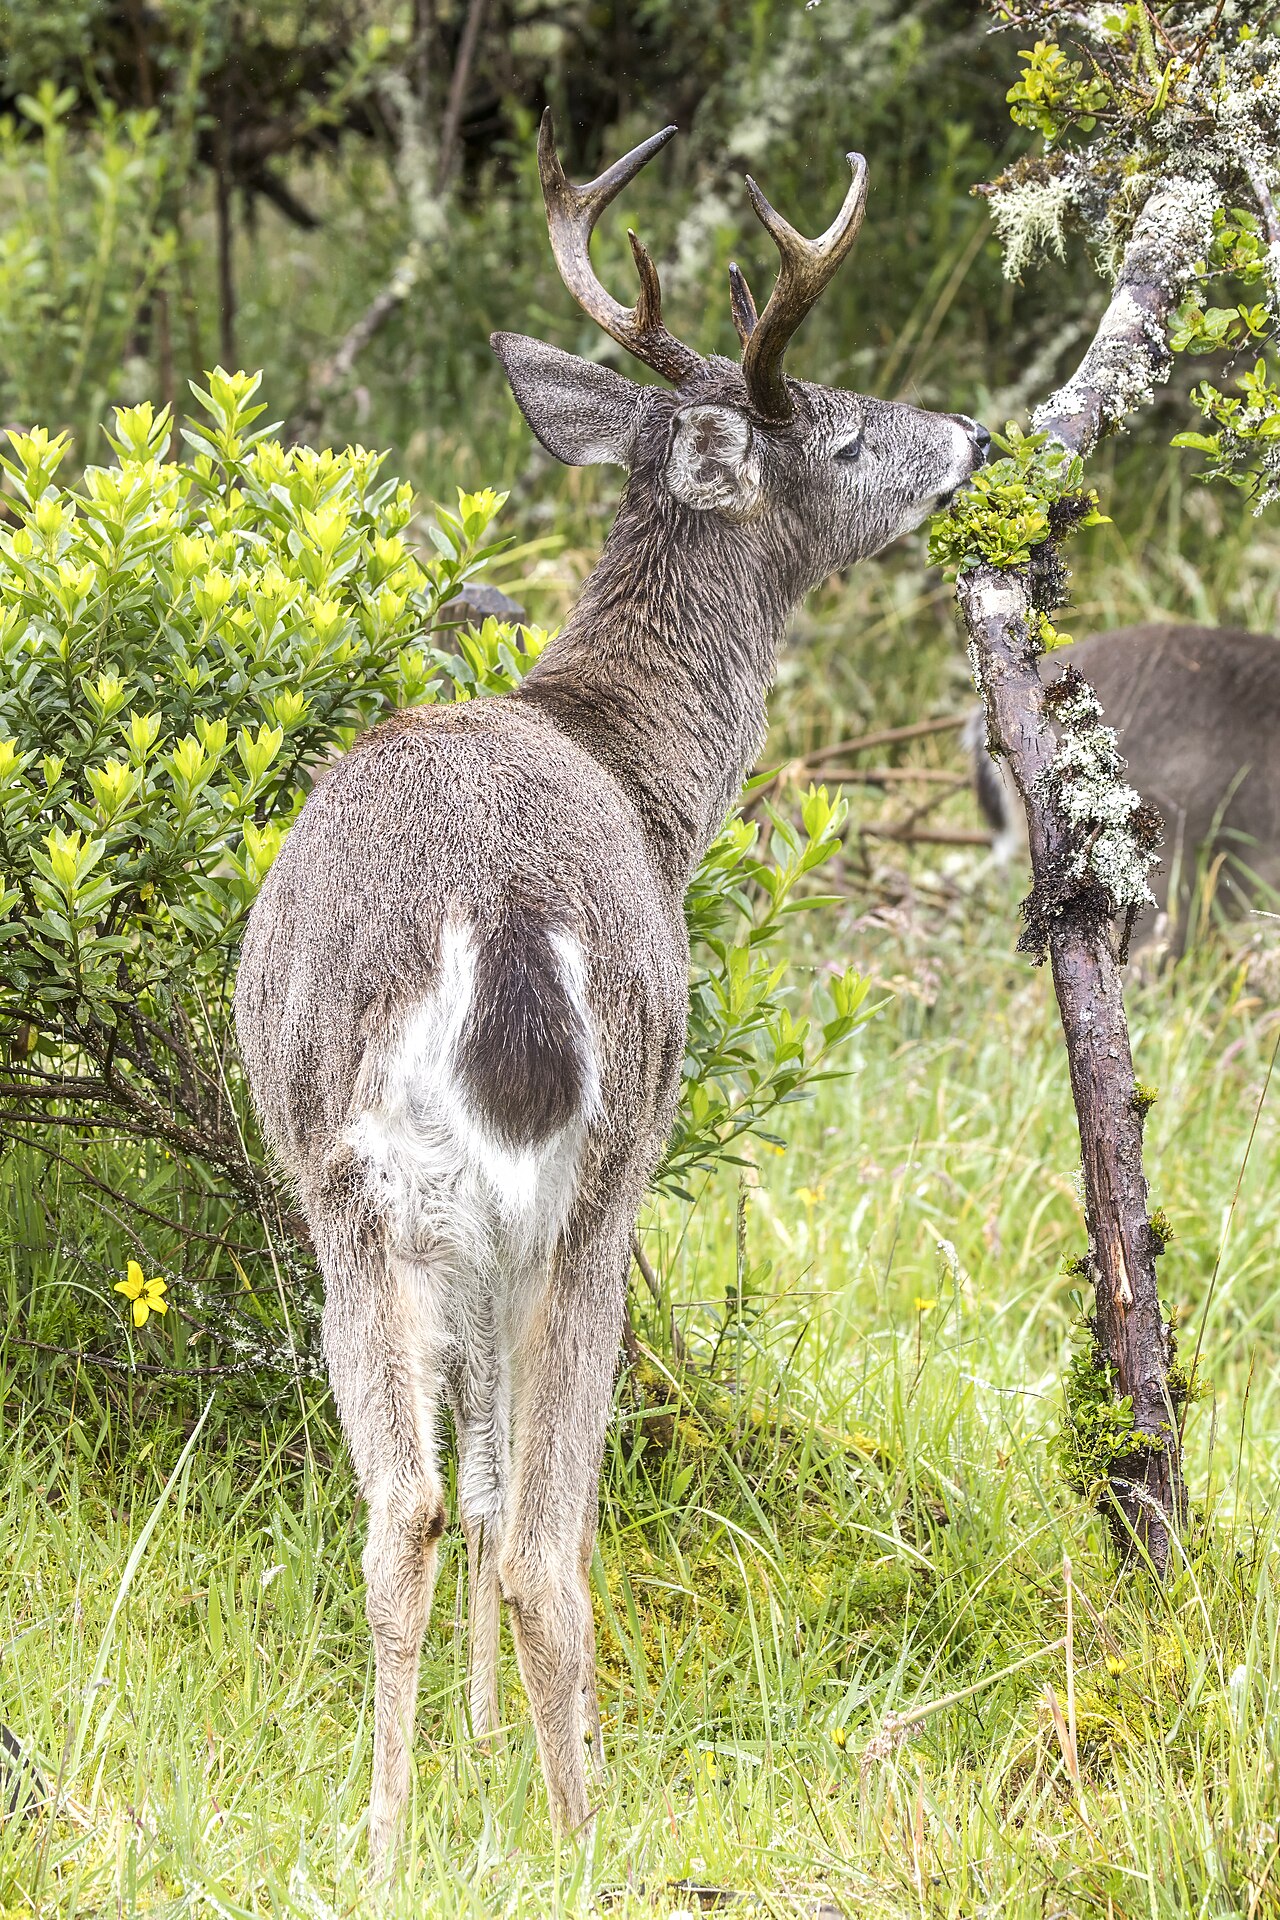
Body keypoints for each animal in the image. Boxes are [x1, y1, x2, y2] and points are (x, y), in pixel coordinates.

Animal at [234, 111, 989, 1865]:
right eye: (842, 431)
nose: (974, 438)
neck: (641, 775)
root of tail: (507, 928)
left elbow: (479, 1486)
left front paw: (472, 1756)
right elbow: (519, 1497)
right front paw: (512, 1759)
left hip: (390, 1193)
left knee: (429, 1511)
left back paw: (410, 1835)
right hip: (588, 1184)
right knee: (530, 1533)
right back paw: (567, 1825)